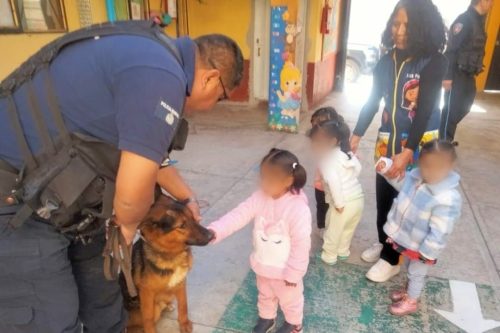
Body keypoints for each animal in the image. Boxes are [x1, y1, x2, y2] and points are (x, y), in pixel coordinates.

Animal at [125, 195, 215, 332]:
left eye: (192, 217)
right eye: (182, 225)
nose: (211, 235)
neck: (172, 253)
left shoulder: (181, 282)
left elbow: (183, 305)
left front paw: (184, 324)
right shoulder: (146, 293)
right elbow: (148, 318)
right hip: (151, 308)